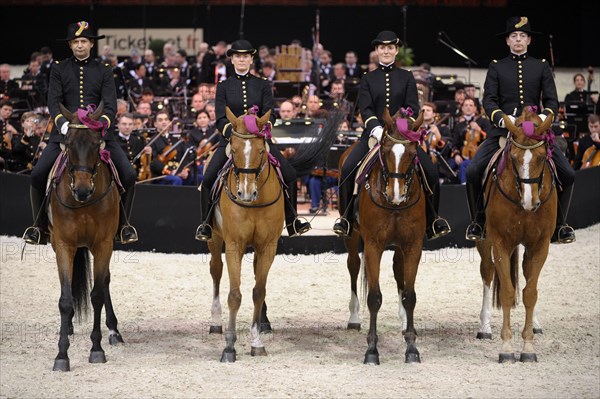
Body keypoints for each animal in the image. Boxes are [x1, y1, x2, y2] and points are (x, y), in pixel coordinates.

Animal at [49, 104, 124, 372]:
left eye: (96, 144)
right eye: (69, 144)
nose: (82, 190)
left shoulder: (103, 245)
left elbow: (97, 294)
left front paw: (97, 349)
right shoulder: (63, 245)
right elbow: (65, 299)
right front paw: (62, 355)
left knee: (105, 282)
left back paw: (114, 331)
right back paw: (70, 326)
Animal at [342, 108, 426, 364]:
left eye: (413, 153)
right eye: (386, 150)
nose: (395, 195)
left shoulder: (413, 245)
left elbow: (410, 295)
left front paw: (411, 347)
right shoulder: (373, 246)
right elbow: (374, 298)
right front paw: (371, 350)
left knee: (399, 272)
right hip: (352, 237)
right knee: (353, 266)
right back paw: (354, 317)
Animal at [476, 108, 560, 364]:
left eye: (542, 157)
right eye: (513, 158)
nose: (530, 202)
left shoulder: (540, 246)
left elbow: (530, 293)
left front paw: (528, 346)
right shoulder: (500, 243)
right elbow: (506, 292)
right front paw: (506, 347)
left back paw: (536, 324)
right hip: (485, 242)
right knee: (488, 272)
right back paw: (484, 327)